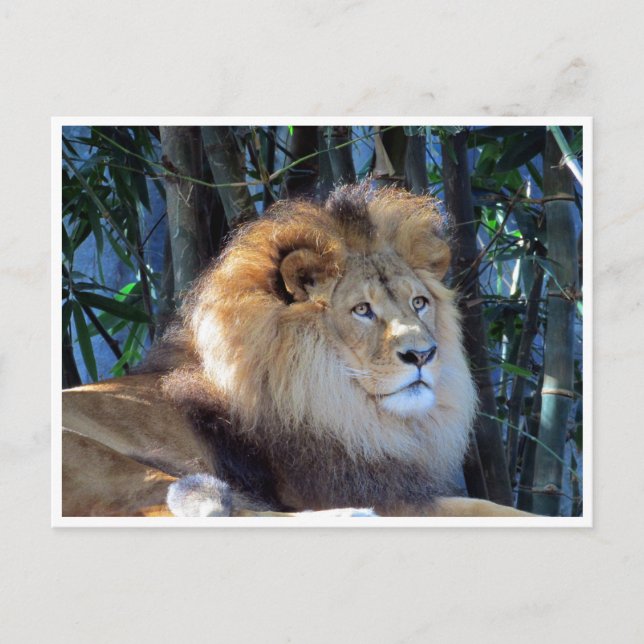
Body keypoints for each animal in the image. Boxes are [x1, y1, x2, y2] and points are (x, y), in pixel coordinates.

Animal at [61, 185, 531, 518]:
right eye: (362, 310)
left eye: (419, 303)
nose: (423, 355)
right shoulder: (364, 489)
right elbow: (486, 508)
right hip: (104, 462)